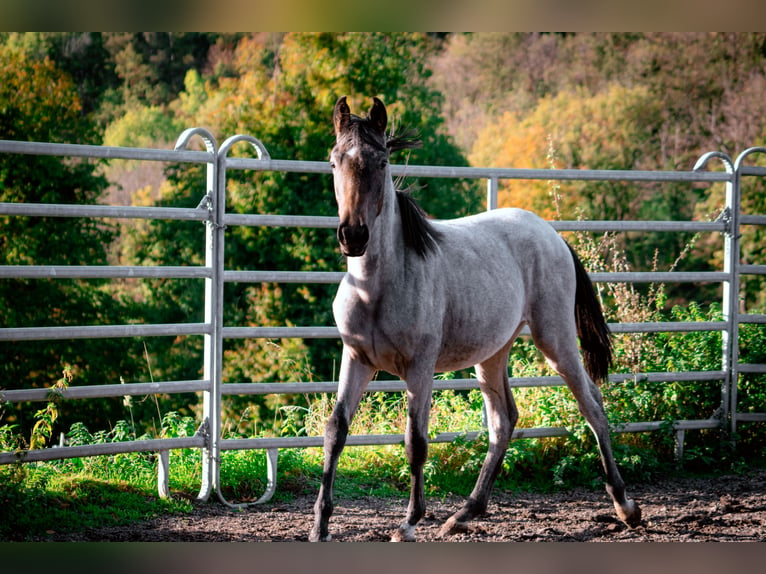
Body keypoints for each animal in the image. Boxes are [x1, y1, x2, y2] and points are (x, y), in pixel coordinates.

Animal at [308, 97, 644, 544]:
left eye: (382, 161)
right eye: (333, 161)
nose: (353, 236)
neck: (376, 288)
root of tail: (552, 234)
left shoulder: (420, 369)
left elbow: (416, 442)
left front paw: (409, 523)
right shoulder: (357, 359)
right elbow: (335, 432)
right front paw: (320, 525)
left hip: (555, 340)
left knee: (591, 404)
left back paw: (626, 507)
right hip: (492, 354)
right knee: (504, 421)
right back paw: (465, 513)